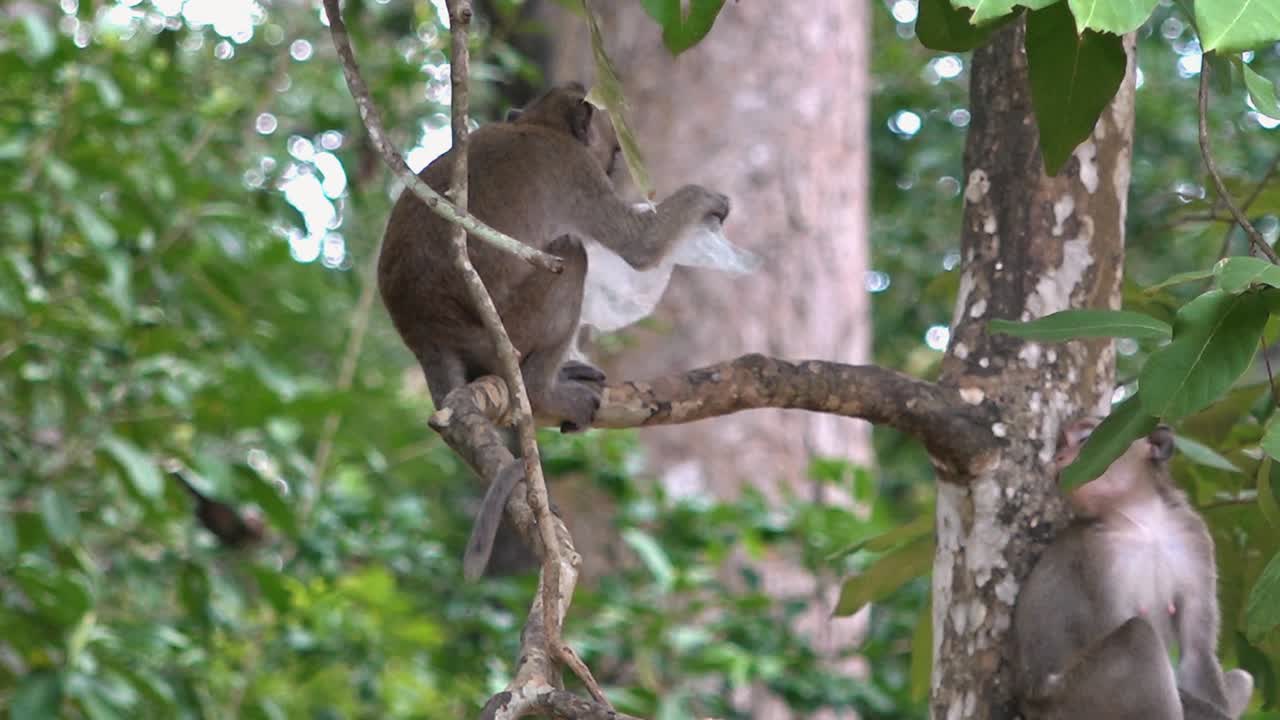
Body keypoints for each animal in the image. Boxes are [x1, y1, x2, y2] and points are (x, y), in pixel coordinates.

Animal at [378, 82, 731, 579]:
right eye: (614, 153)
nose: (614, 166)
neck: (537, 123)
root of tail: (429, 336)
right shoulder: (576, 169)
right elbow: (639, 245)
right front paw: (708, 201)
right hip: (509, 327)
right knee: (573, 254)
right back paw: (543, 392)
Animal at [1011, 419, 1253, 719]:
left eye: (1085, 439)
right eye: (1061, 446)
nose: (1058, 458)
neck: (1142, 522)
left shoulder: (1193, 536)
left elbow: (1197, 654)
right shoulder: (1096, 554)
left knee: (1243, 677)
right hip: (1074, 701)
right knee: (1138, 637)